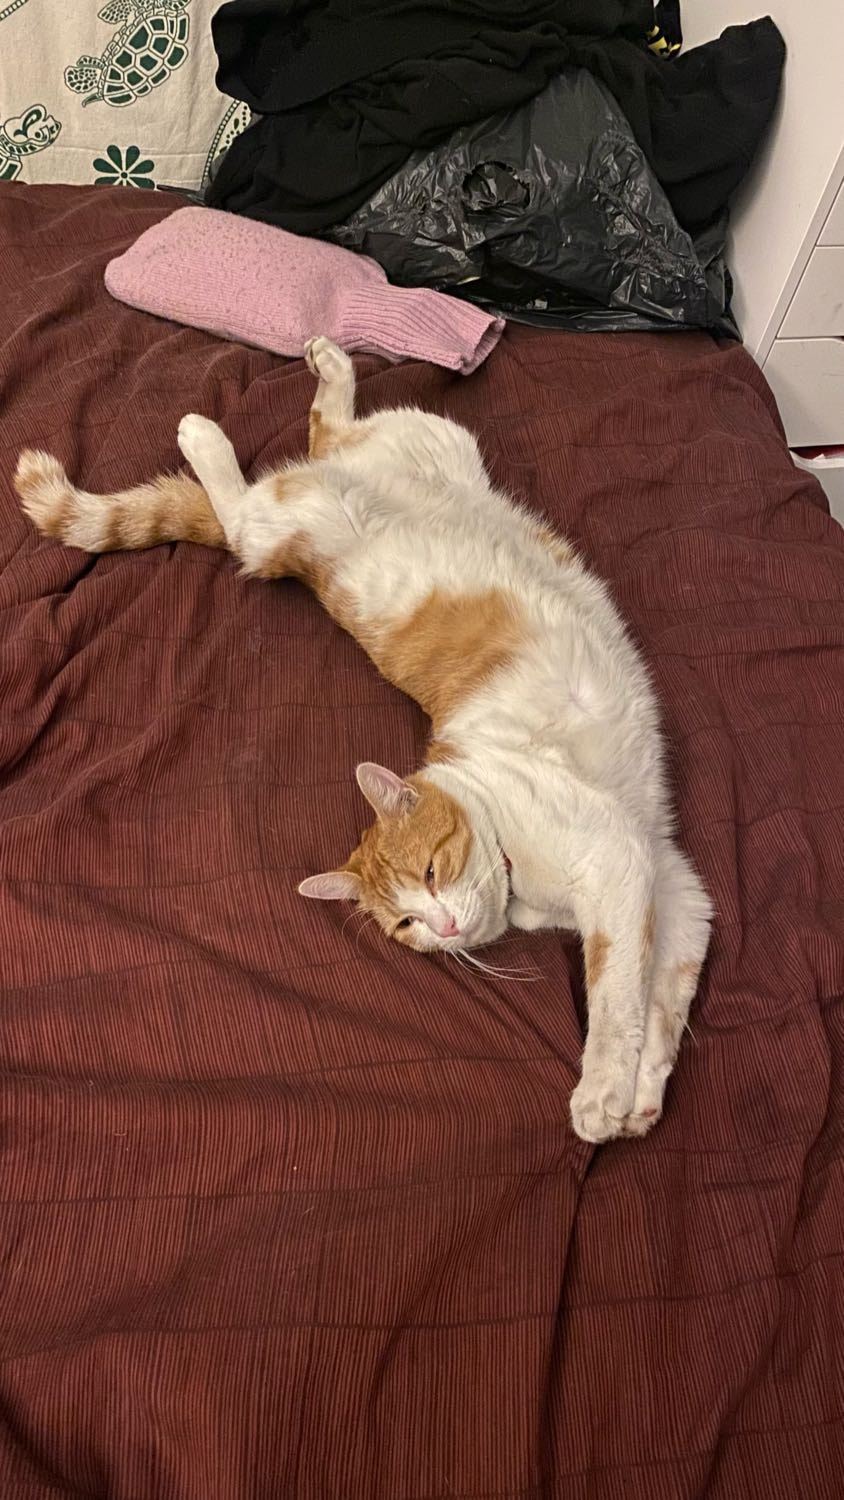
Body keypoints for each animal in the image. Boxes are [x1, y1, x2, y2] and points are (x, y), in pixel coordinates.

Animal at [14, 335, 712, 1143]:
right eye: (406, 923)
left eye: (433, 872)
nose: (442, 925)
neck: (515, 864)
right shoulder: (658, 881)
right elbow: (645, 997)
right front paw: (627, 1097)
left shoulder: (643, 873)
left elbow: (630, 997)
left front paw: (615, 1093)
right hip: (350, 481)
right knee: (285, 470)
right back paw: (274, 395)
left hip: (407, 452)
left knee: (292, 465)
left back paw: (240, 412)